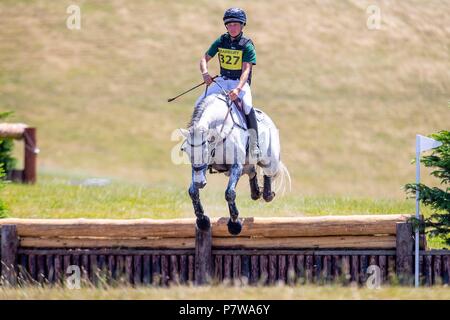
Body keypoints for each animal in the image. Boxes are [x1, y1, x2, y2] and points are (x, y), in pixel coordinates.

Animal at [178, 92, 290, 235]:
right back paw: (256, 192)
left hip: (271, 161)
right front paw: (202, 221)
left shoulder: (236, 165)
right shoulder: (201, 170)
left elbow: (229, 193)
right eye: (185, 150)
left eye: (205, 151)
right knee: (251, 171)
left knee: (268, 175)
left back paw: (268, 194)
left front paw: (234, 224)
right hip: (244, 165)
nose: (200, 183)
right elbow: (193, 191)